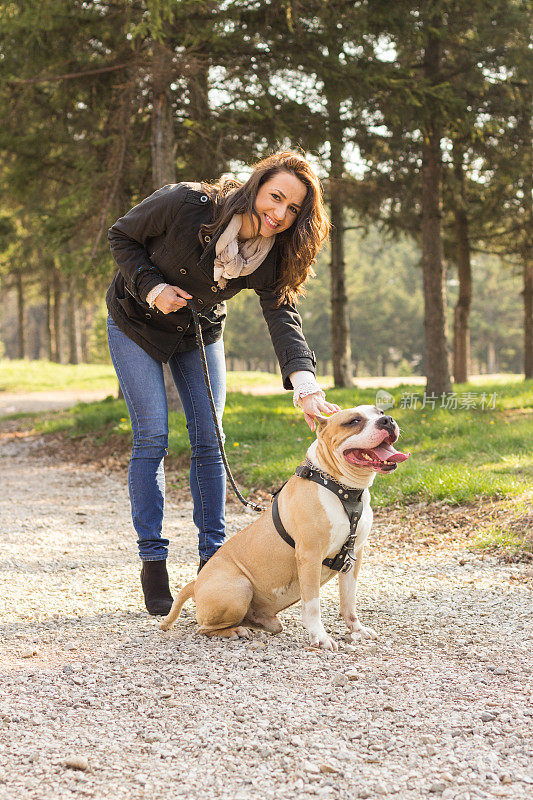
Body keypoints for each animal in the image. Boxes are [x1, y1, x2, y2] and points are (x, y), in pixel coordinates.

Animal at [160, 406, 410, 648]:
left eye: (380, 413)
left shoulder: (354, 556)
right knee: (204, 628)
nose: (388, 420)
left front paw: (357, 630)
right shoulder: (310, 556)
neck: (343, 489)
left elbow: (349, 601)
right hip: (239, 587)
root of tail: (196, 583)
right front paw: (320, 637)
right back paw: (235, 631)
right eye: (354, 421)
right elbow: (313, 604)